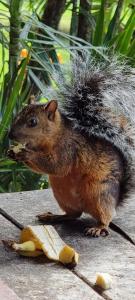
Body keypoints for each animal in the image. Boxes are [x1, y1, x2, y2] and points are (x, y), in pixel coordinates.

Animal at [7, 53, 135, 237]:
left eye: (33, 122)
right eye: (17, 115)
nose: (10, 135)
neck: (54, 137)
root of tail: (116, 200)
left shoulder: (69, 149)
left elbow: (57, 166)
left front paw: (26, 154)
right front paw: (12, 153)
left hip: (98, 193)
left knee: (105, 217)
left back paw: (99, 227)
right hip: (62, 193)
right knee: (73, 214)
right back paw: (54, 216)